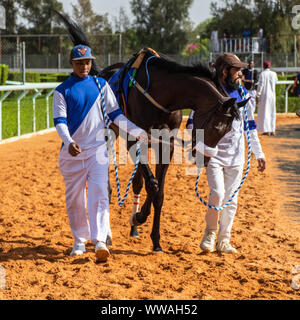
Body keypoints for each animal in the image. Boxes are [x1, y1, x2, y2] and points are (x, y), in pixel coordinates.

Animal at [54, 11, 248, 252]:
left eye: (227, 131)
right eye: (216, 126)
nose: (204, 159)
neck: (161, 94)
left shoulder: (166, 145)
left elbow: (159, 191)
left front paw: (155, 238)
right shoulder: (132, 140)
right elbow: (153, 185)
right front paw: (139, 217)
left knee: (137, 182)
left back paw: (133, 229)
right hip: (108, 135)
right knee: (108, 186)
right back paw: (107, 235)